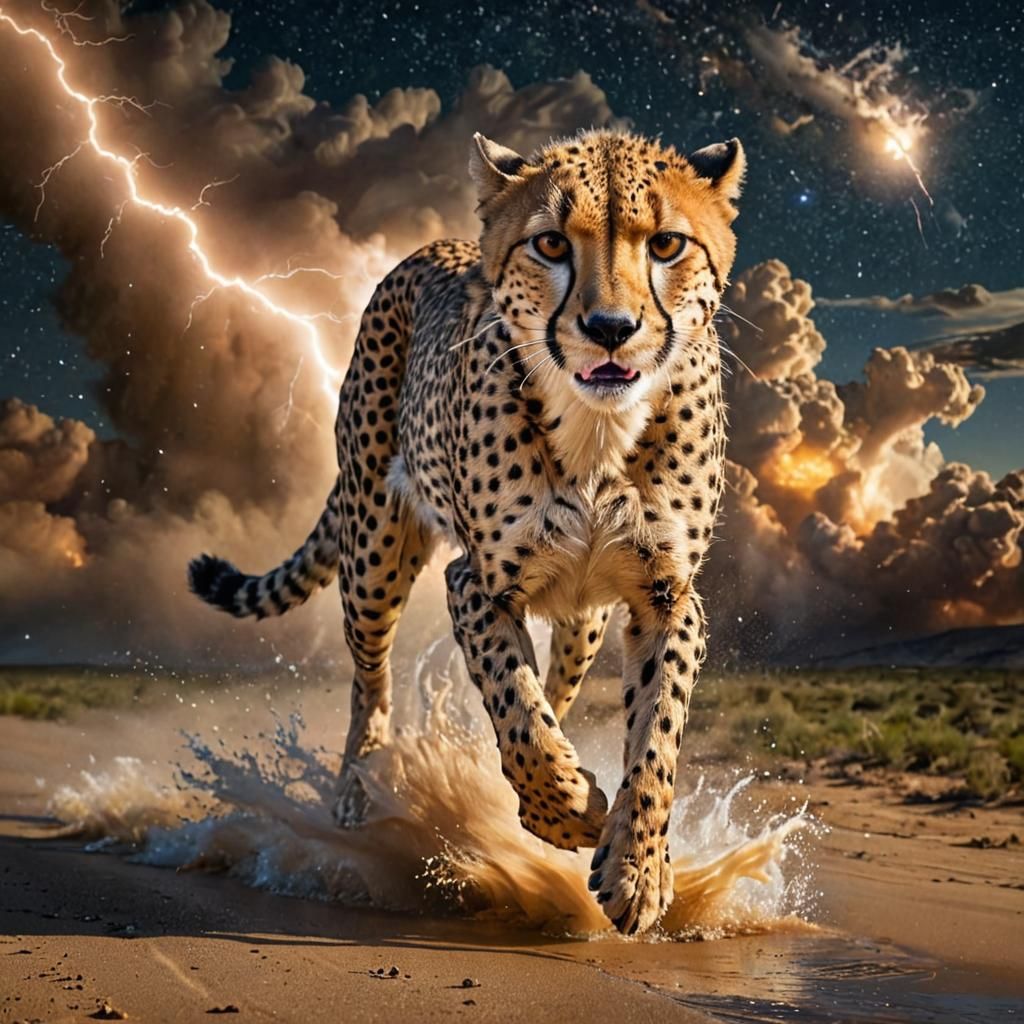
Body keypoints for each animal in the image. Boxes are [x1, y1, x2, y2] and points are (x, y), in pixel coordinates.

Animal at [188, 127, 745, 935]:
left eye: (667, 244)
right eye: (551, 243)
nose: (611, 329)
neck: (596, 432)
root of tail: (435, 247)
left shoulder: (666, 597)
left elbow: (655, 732)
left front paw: (639, 867)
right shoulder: (478, 583)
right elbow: (514, 706)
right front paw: (568, 809)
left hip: (584, 620)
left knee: (558, 684)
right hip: (374, 551)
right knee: (371, 681)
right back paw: (357, 790)